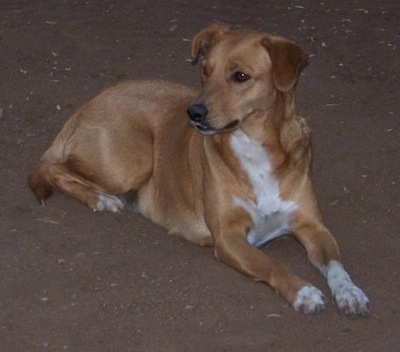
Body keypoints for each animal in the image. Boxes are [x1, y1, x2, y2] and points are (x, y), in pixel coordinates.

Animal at [28, 22, 372, 320]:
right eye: (205, 71)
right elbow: (272, 263)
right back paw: (101, 199)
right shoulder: (228, 237)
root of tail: (84, 105)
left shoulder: (314, 227)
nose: (193, 113)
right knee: (52, 168)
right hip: (130, 163)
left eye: (240, 76)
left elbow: (336, 263)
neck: (254, 147)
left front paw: (350, 292)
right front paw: (303, 291)